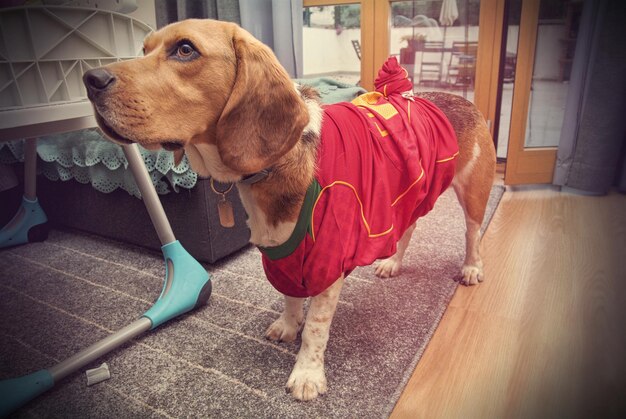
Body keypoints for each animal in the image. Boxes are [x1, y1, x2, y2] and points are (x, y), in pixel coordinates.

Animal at [83, 18, 494, 404]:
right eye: (144, 48)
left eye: (185, 50)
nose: (90, 79)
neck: (271, 167)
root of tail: (457, 98)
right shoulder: (278, 249)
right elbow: (291, 296)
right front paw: (288, 324)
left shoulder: (328, 260)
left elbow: (316, 326)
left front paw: (307, 373)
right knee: (407, 229)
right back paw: (392, 263)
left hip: (474, 195)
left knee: (472, 234)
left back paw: (471, 267)